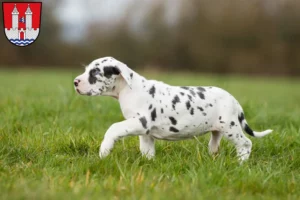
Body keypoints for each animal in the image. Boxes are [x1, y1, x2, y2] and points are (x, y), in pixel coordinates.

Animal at [74, 56, 274, 162]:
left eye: (95, 72)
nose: (75, 82)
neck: (129, 89)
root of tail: (234, 100)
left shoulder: (139, 122)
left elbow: (113, 128)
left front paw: (104, 150)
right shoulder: (145, 132)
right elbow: (147, 150)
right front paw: (149, 163)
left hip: (231, 128)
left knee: (246, 144)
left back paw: (241, 163)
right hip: (218, 130)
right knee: (214, 145)